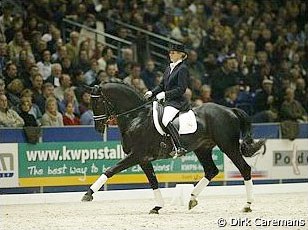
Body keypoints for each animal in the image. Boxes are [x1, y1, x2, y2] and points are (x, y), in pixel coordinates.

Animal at [82, 81, 264, 214]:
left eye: (98, 103)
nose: (98, 128)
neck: (136, 117)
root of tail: (230, 110)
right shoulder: (143, 159)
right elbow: (153, 181)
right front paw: (158, 207)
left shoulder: (137, 155)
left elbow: (110, 170)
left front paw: (88, 194)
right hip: (202, 148)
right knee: (211, 171)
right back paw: (192, 199)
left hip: (228, 145)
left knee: (244, 169)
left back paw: (247, 205)